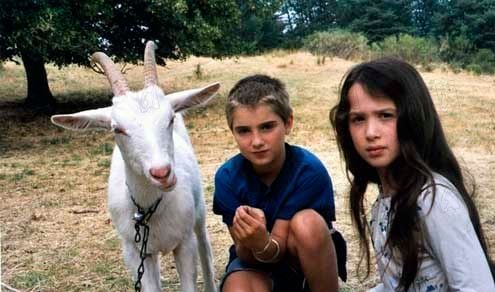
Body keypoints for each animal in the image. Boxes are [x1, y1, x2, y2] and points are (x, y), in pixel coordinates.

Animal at [51, 41, 219, 292]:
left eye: (170, 118)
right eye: (117, 129)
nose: (162, 173)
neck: (150, 210)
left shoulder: (184, 242)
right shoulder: (133, 251)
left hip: (198, 217)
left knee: (205, 248)